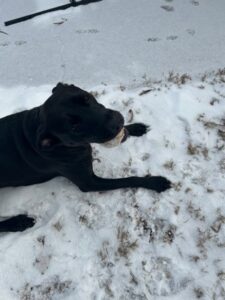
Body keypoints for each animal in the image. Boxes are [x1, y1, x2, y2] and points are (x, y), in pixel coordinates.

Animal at [0, 82, 171, 232]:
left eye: (86, 98)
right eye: (74, 128)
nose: (116, 123)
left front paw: (135, 127)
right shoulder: (89, 182)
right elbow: (128, 180)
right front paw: (155, 182)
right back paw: (18, 223)